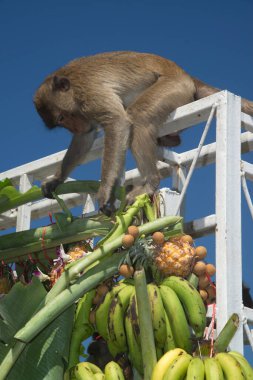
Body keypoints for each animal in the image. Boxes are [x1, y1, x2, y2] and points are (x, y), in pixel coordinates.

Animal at [33, 52, 253, 215]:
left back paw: (150, 181)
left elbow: (118, 123)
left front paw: (105, 190)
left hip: (173, 86)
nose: (74, 127)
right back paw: (170, 140)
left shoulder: (88, 92)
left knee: (138, 118)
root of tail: (185, 75)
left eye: (62, 118)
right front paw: (57, 179)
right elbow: (84, 138)